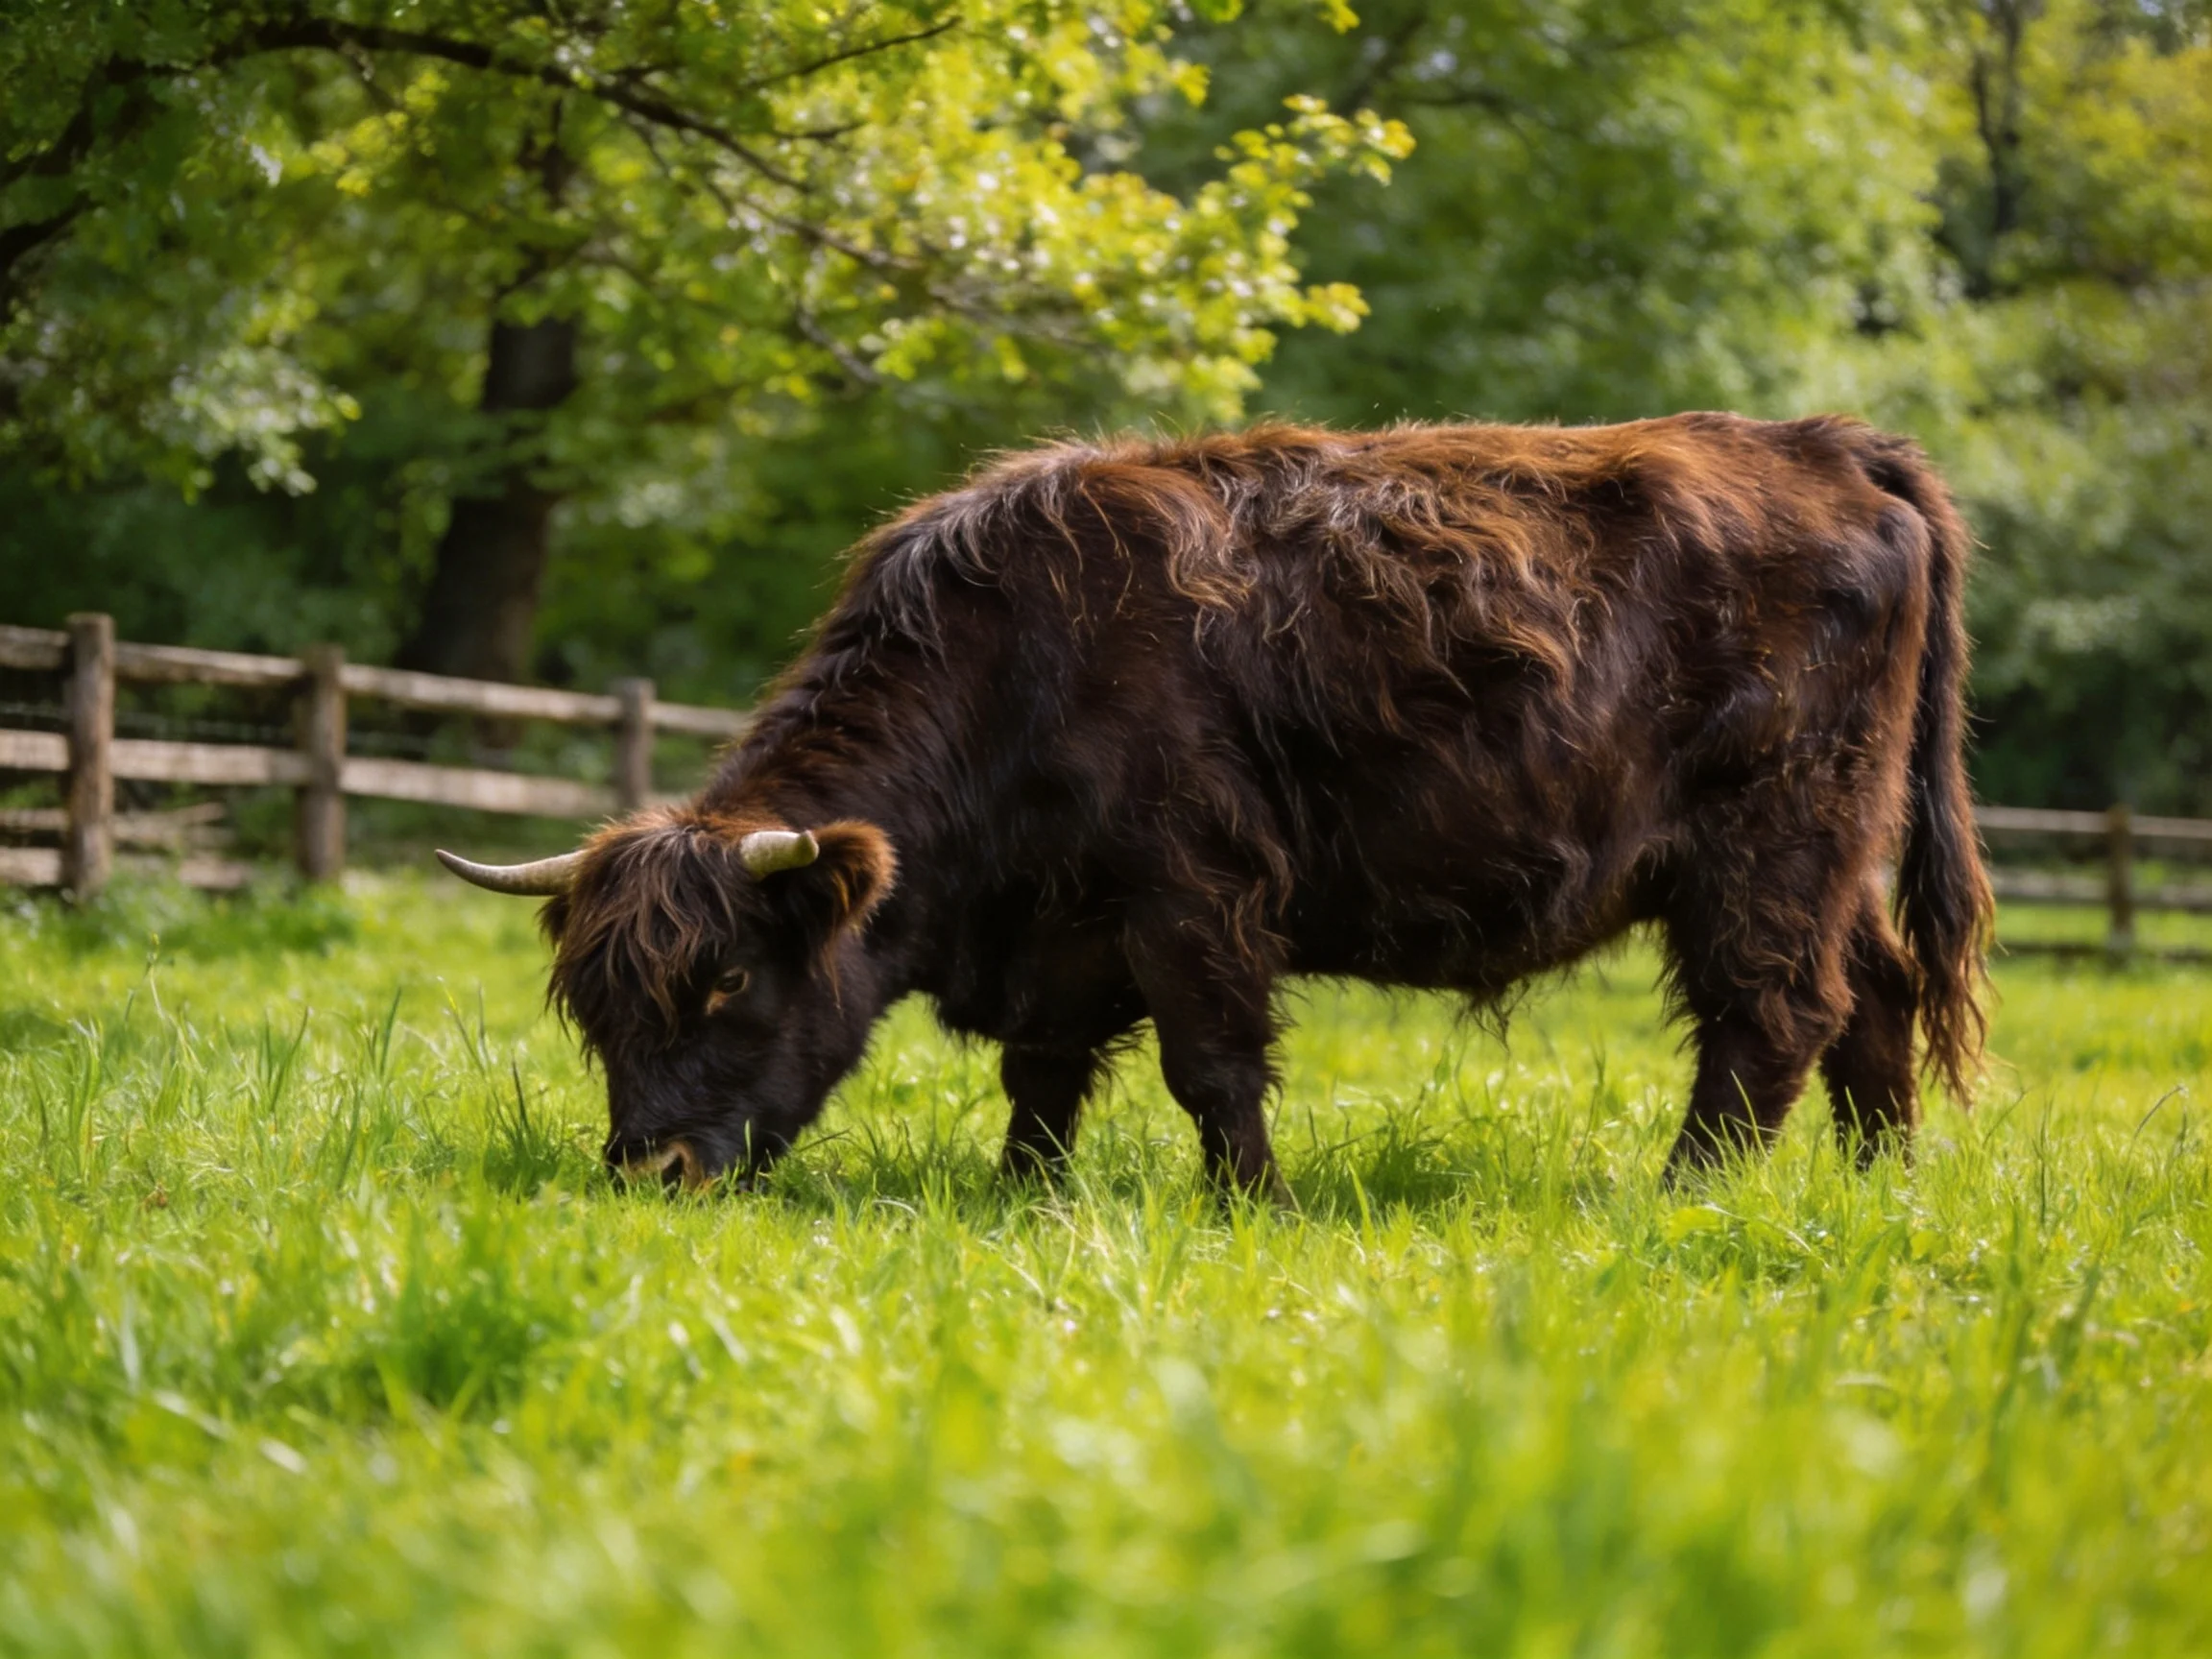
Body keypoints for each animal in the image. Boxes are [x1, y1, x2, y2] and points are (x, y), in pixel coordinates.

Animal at [438, 415, 1993, 1203]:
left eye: (726, 983)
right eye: (595, 1009)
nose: (651, 1172)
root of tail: (1828, 445)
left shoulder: (1191, 891)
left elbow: (1212, 1065)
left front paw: (1250, 1204)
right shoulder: (1064, 932)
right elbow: (1045, 1075)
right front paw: (1024, 1195)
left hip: (1769, 840)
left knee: (1774, 1011)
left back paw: (1687, 1195)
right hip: (1834, 853)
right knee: (1875, 994)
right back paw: (1882, 1185)